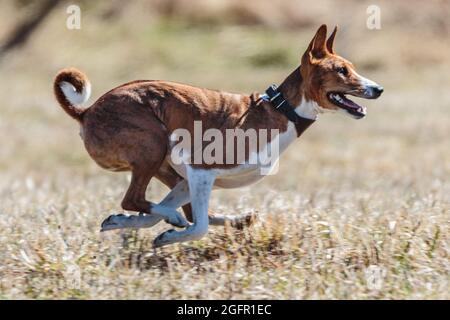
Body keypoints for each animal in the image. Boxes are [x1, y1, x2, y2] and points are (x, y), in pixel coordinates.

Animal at [53, 25, 384, 248]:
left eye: (351, 68)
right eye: (342, 70)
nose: (378, 89)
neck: (280, 109)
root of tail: (86, 110)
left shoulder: (189, 177)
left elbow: (194, 217)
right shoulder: (201, 170)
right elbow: (198, 226)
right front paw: (171, 233)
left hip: (165, 166)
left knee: (153, 206)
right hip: (153, 147)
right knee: (136, 199)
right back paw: (169, 221)